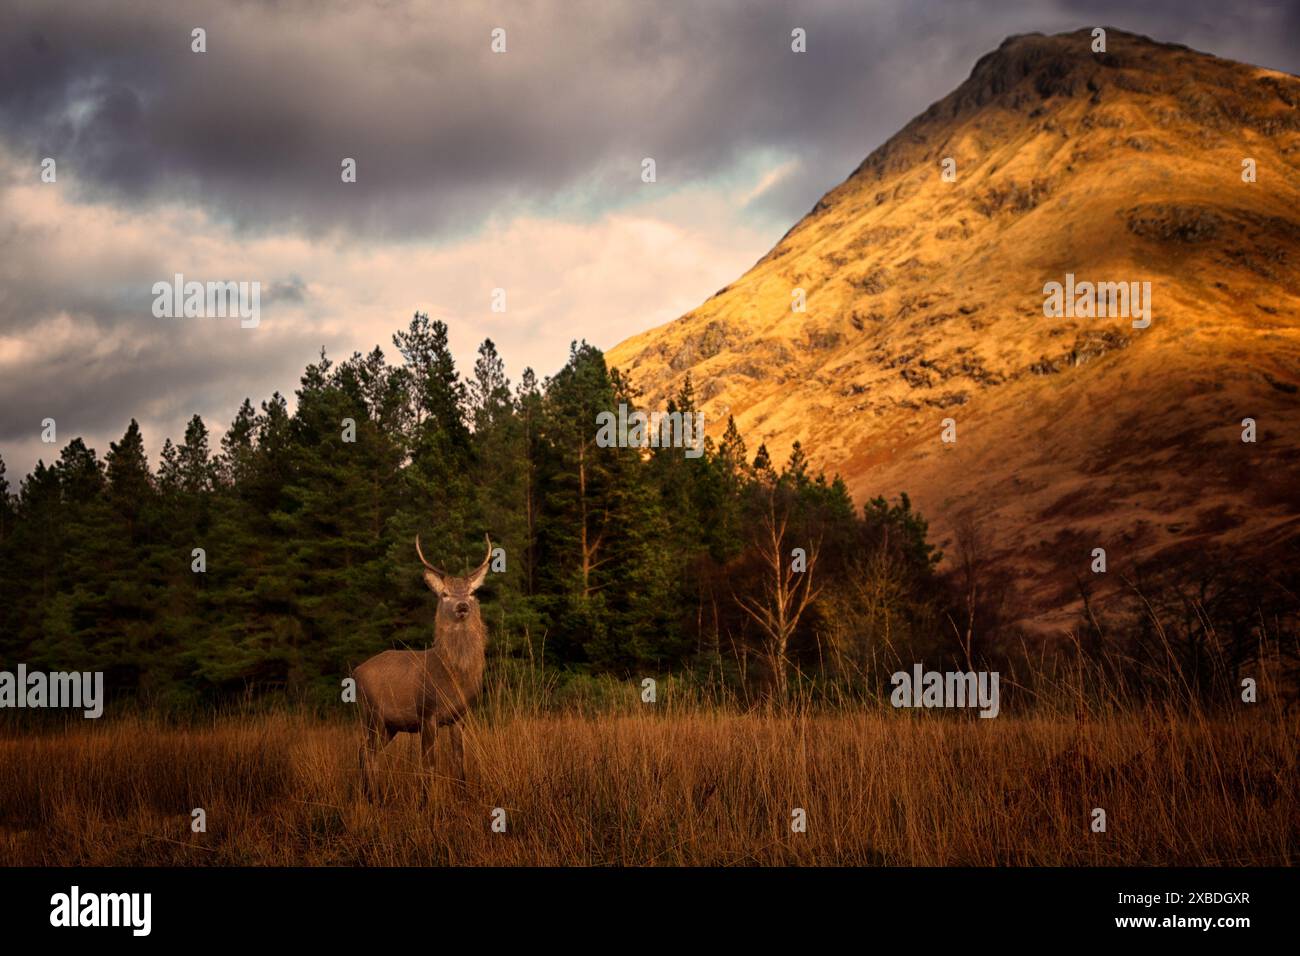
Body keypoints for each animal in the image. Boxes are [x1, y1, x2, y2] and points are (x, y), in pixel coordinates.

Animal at [354, 534, 491, 800]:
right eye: (445, 594)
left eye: (471, 592)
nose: (462, 606)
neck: (452, 676)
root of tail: (355, 672)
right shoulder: (427, 713)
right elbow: (428, 765)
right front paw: (425, 803)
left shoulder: (460, 717)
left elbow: (459, 762)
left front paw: (463, 797)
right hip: (371, 714)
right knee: (366, 752)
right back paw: (372, 797)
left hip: (390, 725)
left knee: (367, 753)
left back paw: (373, 796)